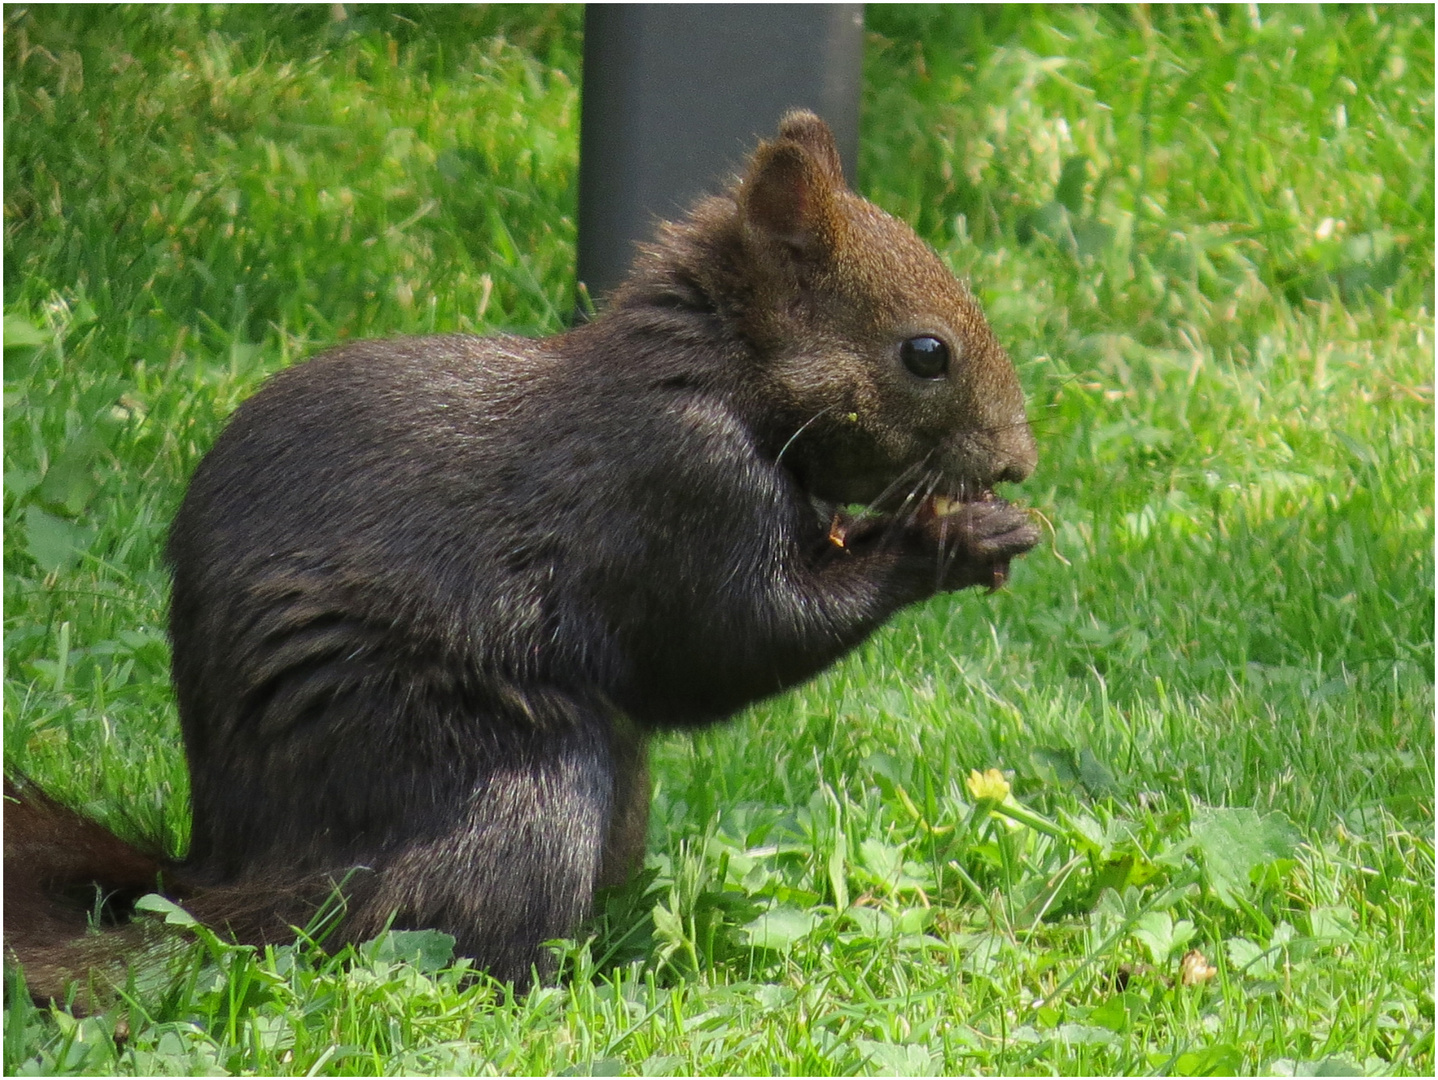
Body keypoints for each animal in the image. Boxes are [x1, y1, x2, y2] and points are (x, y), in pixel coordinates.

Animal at [0, 112, 1041, 995]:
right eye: (925, 353)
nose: (1019, 461)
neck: (714, 375)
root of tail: (221, 881)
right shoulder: (675, 489)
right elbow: (727, 644)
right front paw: (952, 538)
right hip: (512, 785)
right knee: (445, 935)